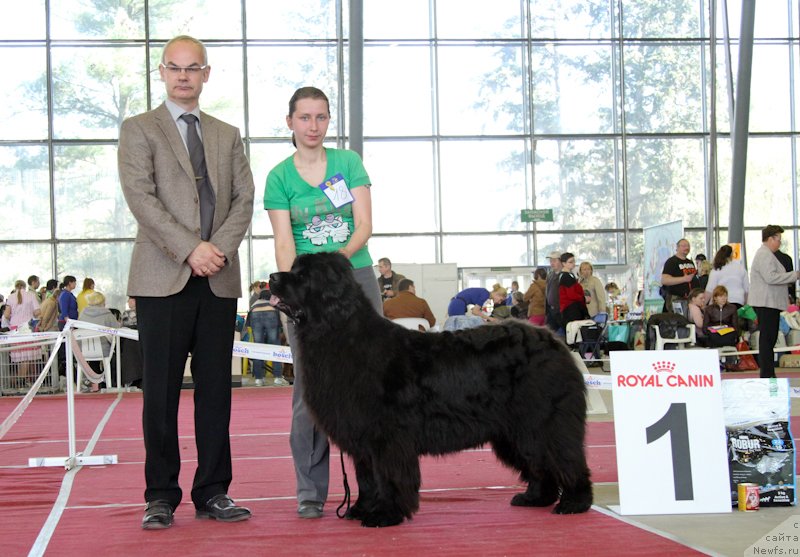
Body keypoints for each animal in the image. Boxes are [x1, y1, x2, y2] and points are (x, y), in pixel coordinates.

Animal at [272, 252, 592, 524]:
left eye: (303, 275)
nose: (273, 277)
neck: (339, 331)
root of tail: (555, 342)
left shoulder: (387, 435)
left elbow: (388, 475)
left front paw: (385, 514)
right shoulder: (361, 433)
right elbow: (366, 477)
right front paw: (362, 509)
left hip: (543, 422)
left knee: (566, 458)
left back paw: (574, 503)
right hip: (515, 432)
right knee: (539, 463)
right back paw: (536, 498)